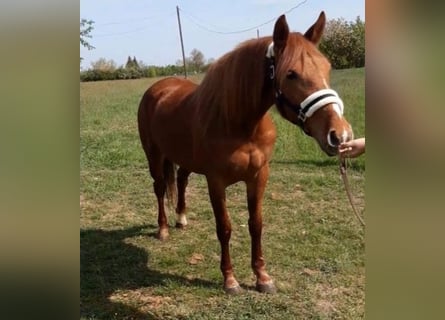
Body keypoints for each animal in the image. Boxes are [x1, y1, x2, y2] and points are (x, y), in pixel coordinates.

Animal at [137, 11, 352, 292]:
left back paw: (181, 218)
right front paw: (230, 279)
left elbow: (255, 224)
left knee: (181, 180)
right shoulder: (216, 182)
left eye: (327, 68)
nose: (340, 135)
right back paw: (162, 229)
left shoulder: (258, 176)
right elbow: (225, 227)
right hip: (154, 155)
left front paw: (262, 277)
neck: (240, 123)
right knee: (161, 187)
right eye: (291, 74)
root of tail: (159, 88)